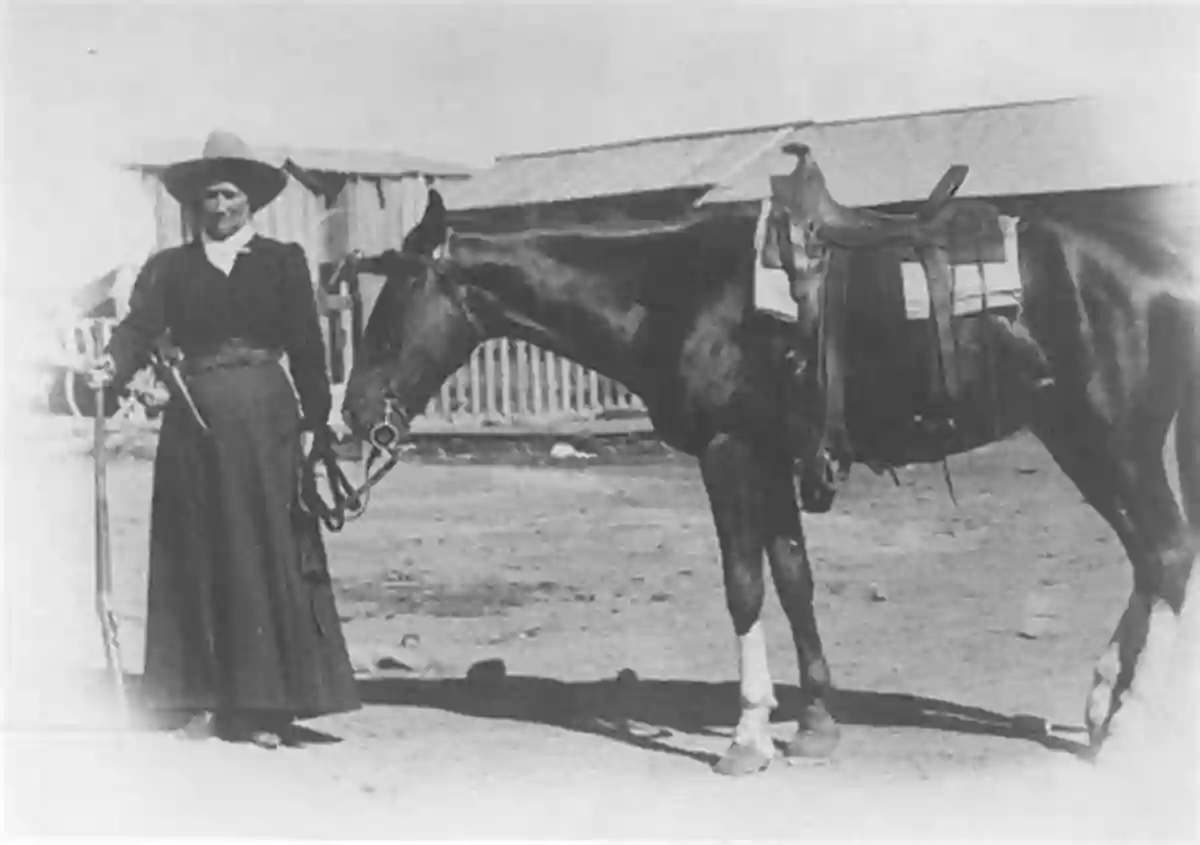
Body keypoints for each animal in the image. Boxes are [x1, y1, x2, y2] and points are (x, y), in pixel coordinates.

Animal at [343, 148, 1195, 777]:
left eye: (395, 304)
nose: (352, 415)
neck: (678, 292)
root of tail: (1170, 267)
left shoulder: (728, 453)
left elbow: (745, 585)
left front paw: (748, 736)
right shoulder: (775, 456)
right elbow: (793, 576)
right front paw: (815, 722)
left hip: (1109, 441)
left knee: (1165, 552)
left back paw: (1130, 726)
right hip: (1083, 440)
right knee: (1150, 560)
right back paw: (1099, 706)